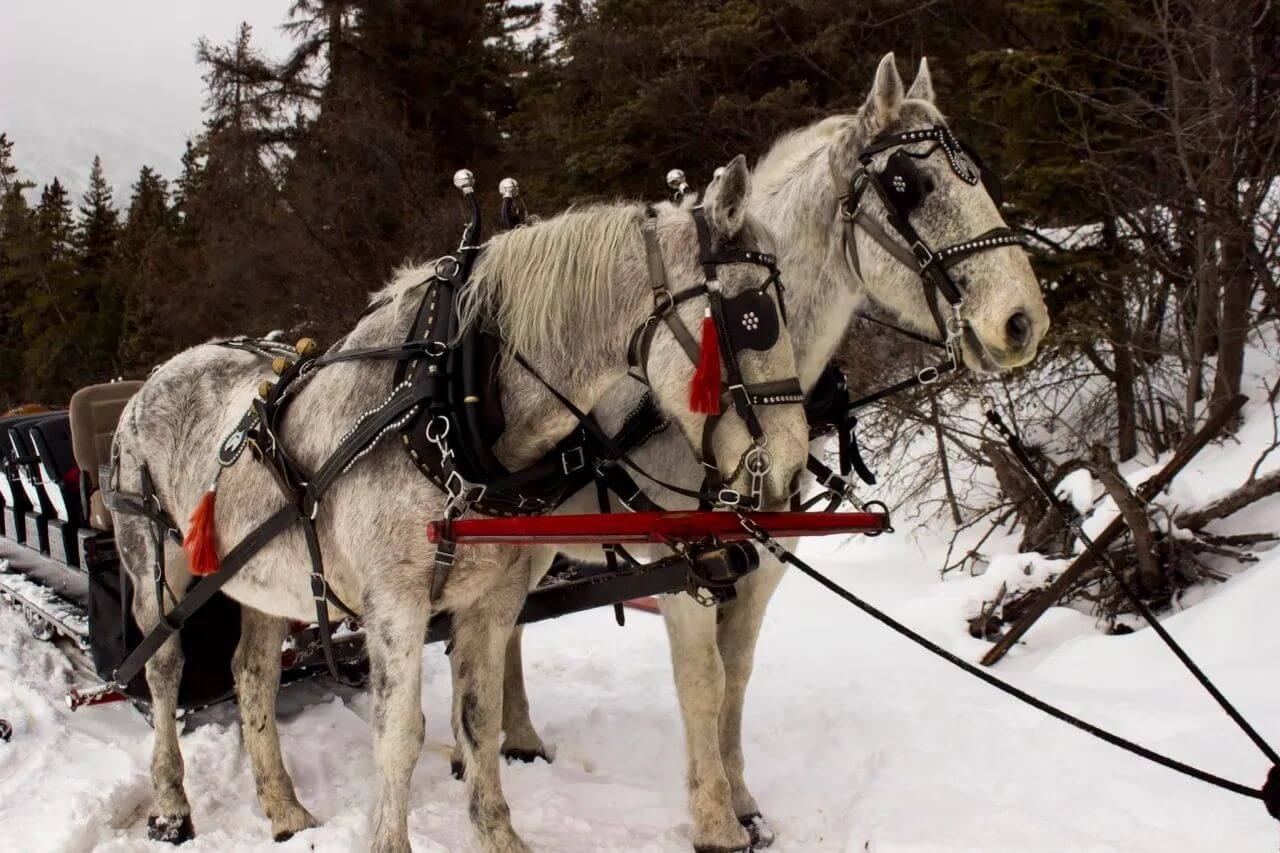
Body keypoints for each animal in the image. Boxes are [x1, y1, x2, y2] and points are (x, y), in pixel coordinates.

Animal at [108, 155, 811, 853]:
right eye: (755, 318)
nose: (788, 467)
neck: (454, 410)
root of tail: (152, 380)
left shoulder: (491, 600)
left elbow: (480, 719)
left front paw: (500, 837)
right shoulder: (395, 605)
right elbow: (398, 736)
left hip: (262, 580)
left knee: (253, 674)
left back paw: (284, 810)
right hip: (152, 563)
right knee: (164, 670)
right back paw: (171, 808)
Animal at [482, 53, 1051, 852]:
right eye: (910, 185)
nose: (1024, 321)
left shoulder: (764, 564)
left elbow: (739, 675)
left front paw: (746, 801)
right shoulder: (687, 570)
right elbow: (703, 683)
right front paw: (716, 823)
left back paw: (518, 739)